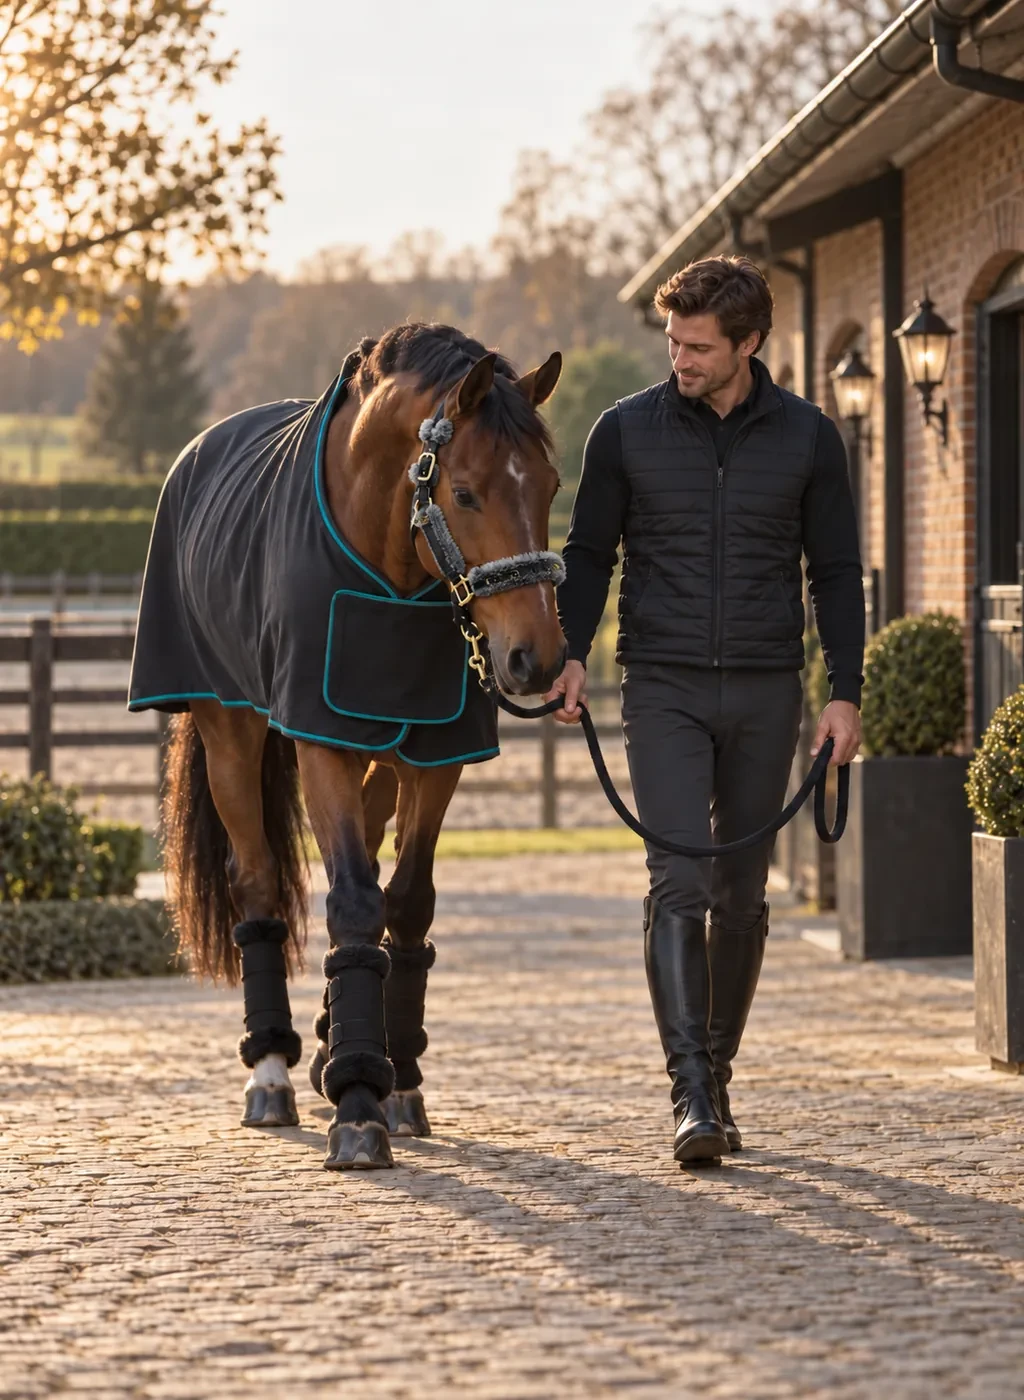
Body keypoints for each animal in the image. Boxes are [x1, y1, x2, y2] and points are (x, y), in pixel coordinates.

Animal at [130, 323, 566, 1169]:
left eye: (552, 485)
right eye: (466, 492)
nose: (538, 659)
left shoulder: (433, 759)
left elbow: (406, 904)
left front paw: (393, 1080)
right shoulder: (322, 744)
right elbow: (355, 902)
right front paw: (359, 1102)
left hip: (380, 761)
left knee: (359, 859)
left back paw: (333, 1041)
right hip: (232, 735)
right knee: (259, 882)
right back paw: (272, 1071)